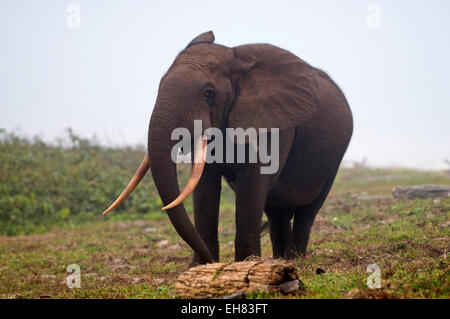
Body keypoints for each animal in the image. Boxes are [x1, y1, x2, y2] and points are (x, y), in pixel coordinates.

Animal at [102, 30, 352, 264]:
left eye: (208, 95)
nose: (210, 260)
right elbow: (204, 185)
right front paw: (200, 268)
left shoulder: (272, 123)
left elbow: (253, 182)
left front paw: (245, 264)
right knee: (275, 210)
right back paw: (280, 260)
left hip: (333, 161)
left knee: (307, 210)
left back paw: (293, 259)